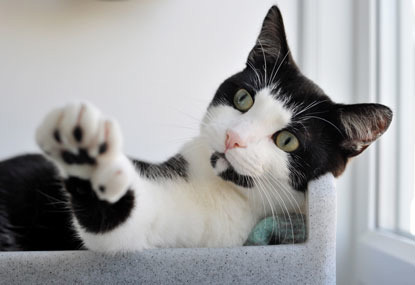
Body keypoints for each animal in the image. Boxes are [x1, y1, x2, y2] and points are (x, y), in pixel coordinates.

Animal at [0, 6, 394, 251]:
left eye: (288, 140)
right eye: (243, 98)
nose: (233, 138)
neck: (219, 189)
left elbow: (120, 231)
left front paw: (88, 155)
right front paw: (83, 148)